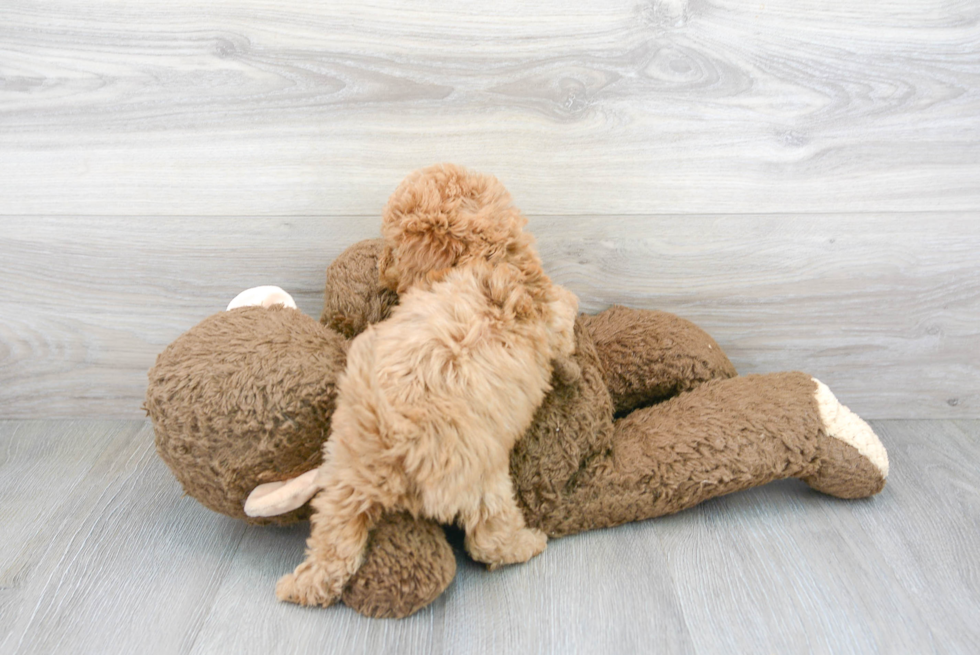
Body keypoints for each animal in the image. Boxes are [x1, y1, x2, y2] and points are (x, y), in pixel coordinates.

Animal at [276, 165, 580, 608]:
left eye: (393, 244)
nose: (381, 265)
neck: (489, 257)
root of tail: (391, 446)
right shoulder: (548, 312)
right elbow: (566, 312)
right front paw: (573, 363)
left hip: (342, 473)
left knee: (335, 546)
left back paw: (302, 584)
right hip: (482, 476)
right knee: (489, 538)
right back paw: (528, 543)